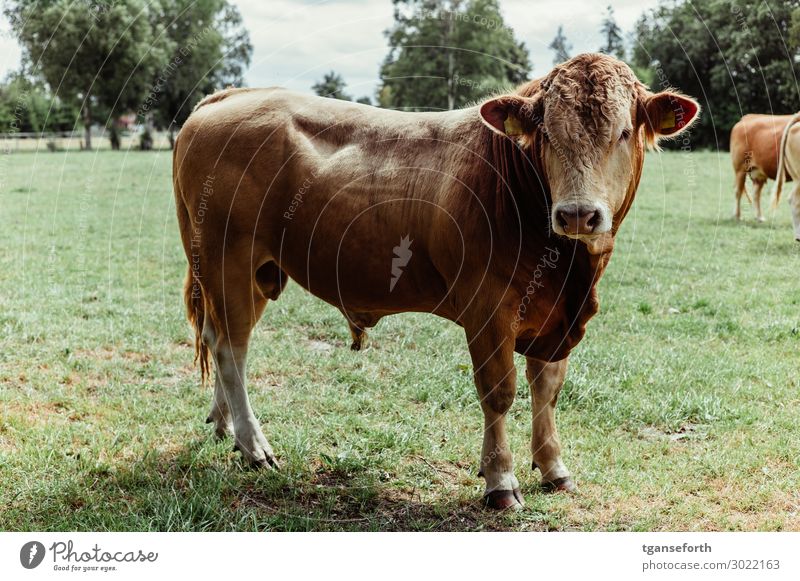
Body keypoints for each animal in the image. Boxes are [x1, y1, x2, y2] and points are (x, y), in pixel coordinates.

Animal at [172, 54, 696, 508]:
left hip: (256, 272)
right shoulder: (489, 311)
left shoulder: (559, 320)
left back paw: (224, 427)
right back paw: (254, 445)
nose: (578, 214)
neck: (569, 270)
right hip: (226, 261)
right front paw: (500, 481)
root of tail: (229, 98)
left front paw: (553, 468)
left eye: (624, 132)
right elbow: (499, 391)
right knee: (231, 348)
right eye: (546, 134)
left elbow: (547, 388)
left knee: (223, 341)